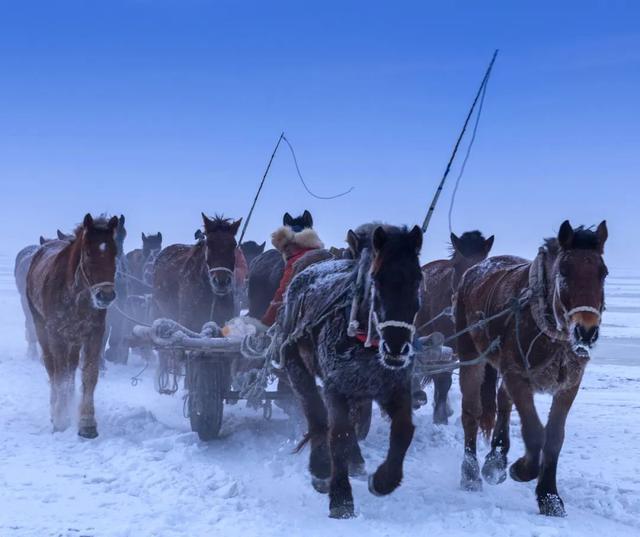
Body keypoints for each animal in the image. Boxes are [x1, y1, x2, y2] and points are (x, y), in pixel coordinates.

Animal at [26, 214, 120, 436]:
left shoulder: (94, 333)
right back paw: (56, 407)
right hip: (41, 328)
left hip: (74, 338)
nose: (105, 295)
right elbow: (59, 375)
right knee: (52, 367)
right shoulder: (56, 335)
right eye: (88, 253)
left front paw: (87, 423)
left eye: (115, 253)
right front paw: (60, 419)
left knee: (70, 368)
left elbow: (89, 375)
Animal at [282, 221, 424, 516]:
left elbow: (403, 430)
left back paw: (356, 460)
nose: (396, 346)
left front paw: (384, 480)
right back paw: (321, 466)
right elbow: (338, 433)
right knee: (315, 415)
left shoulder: (396, 386)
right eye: (377, 278)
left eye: (418, 279)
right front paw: (340, 497)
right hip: (296, 367)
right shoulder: (336, 386)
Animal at [458, 221, 608, 516]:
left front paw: (549, 496)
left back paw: (495, 459)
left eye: (603, 273)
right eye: (564, 271)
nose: (586, 331)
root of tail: (475, 269)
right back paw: (470, 475)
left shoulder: (569, 384)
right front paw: (523, 469)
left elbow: (554, 436)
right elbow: (535, 432)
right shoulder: (517, 375)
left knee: (502, 402)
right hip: (471, 355)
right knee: (471, 412)